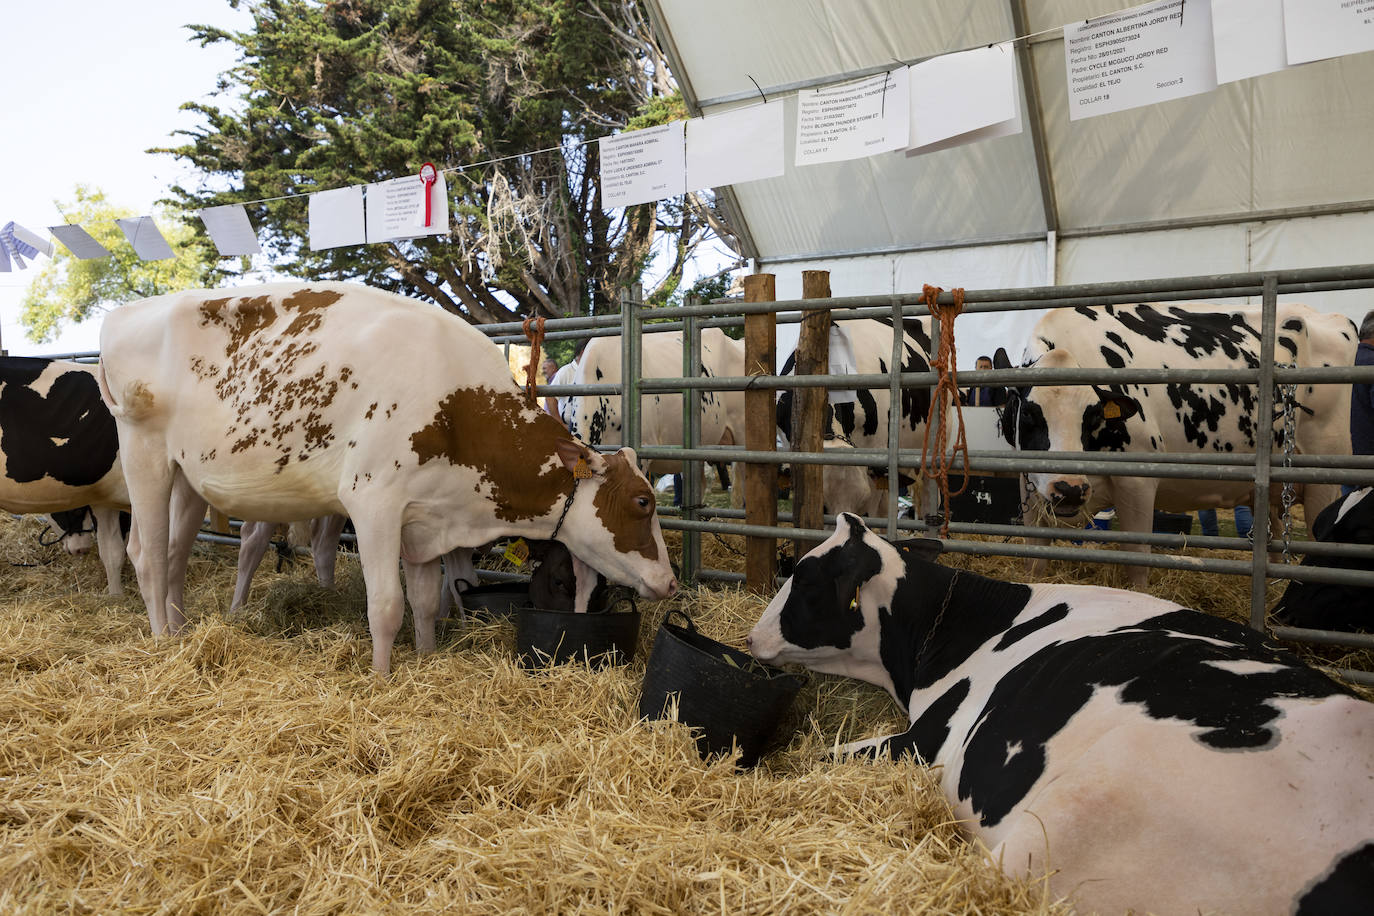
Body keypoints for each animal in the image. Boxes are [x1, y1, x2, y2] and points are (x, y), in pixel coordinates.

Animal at [96, 282, 676, 678]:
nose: (670, 583)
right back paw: (161, 641)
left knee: (174, 554)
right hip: (144, 455)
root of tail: (124, 313)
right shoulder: (374, 503)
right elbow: (386, 606)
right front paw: (381, 676)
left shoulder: (424, 518)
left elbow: (423, 601)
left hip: (188, 479)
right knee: (148, 555)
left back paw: (180, 629)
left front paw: (425, 655)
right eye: (642, 502)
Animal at [1000, 300, 1352, 587]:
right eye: (1028, 412)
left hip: (1324, 476)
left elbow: (1136, 560)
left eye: (1095, 414)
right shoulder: (1028, 484)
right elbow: (1034, 561)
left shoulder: (1138, 481)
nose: (1070, 488)